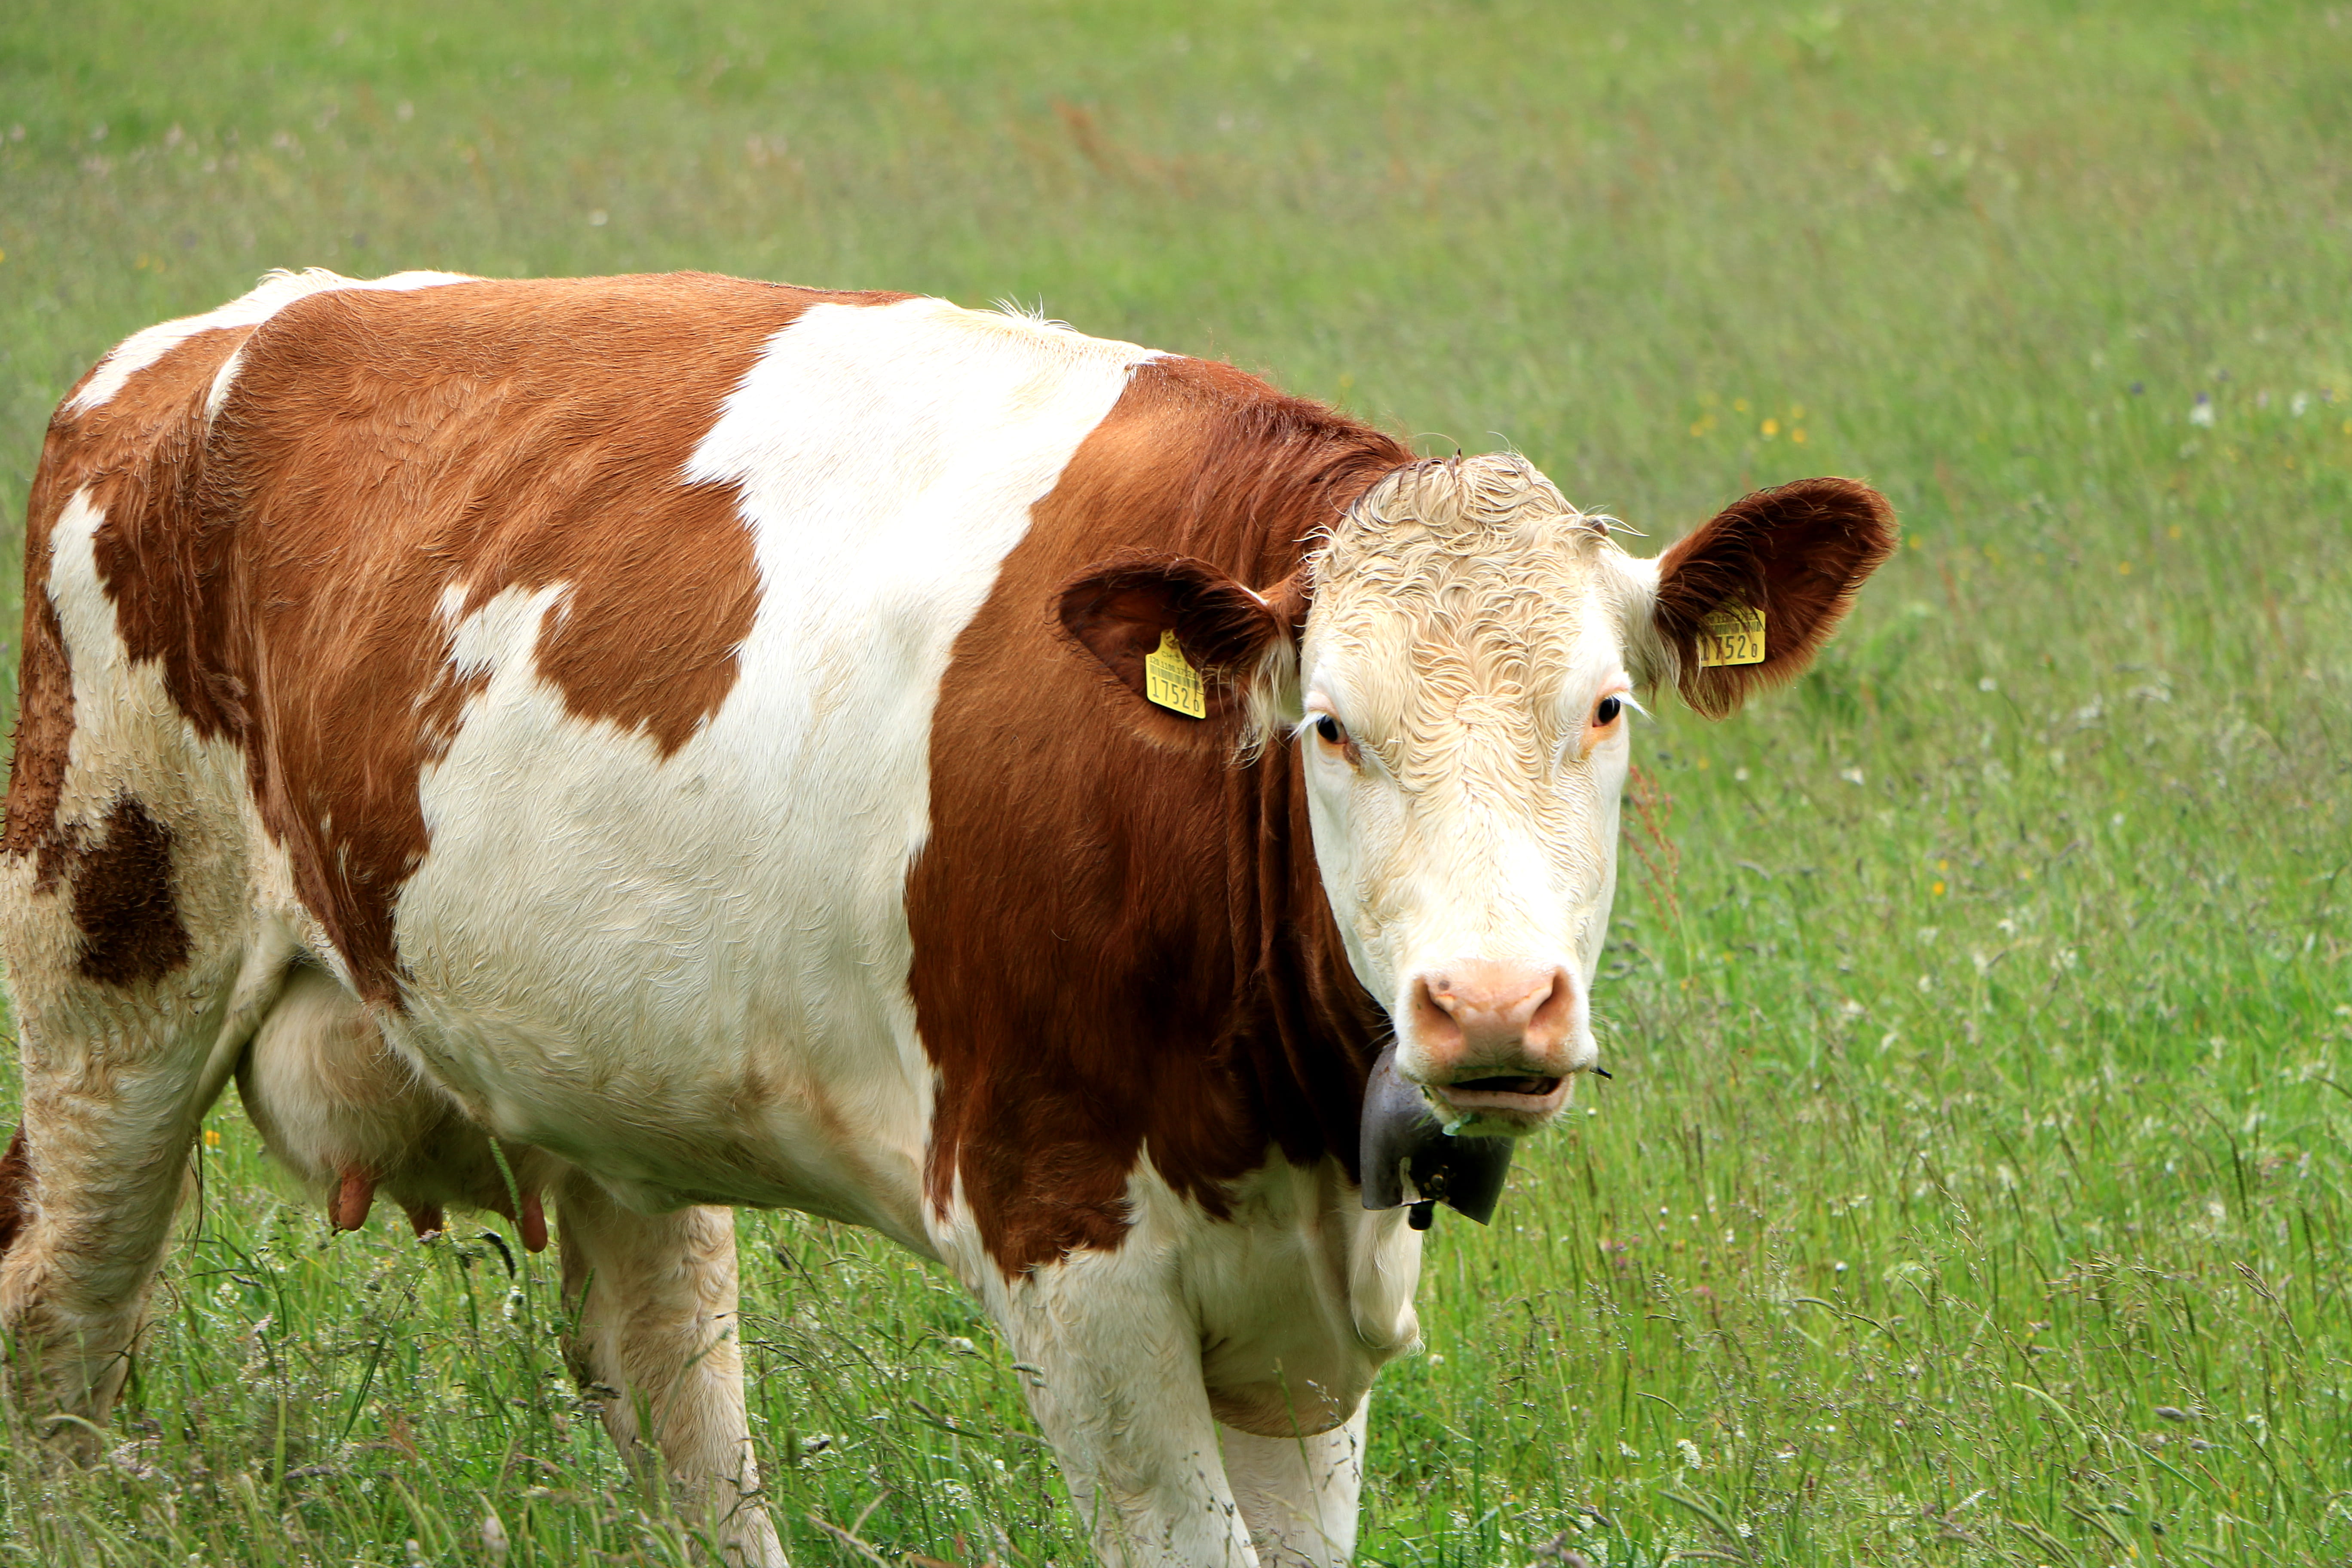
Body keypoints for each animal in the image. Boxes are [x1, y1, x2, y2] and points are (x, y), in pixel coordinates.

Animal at [0, 269, 1893, 1566]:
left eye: (1605, 709)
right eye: (1331, 727)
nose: (1491, 1007)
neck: (1286, 1118)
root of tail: (216, 333)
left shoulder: (1308, 1324)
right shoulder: (1067, 1246)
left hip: (608, 1080)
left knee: (678, 1404)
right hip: (111, 975)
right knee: (58, 1335)